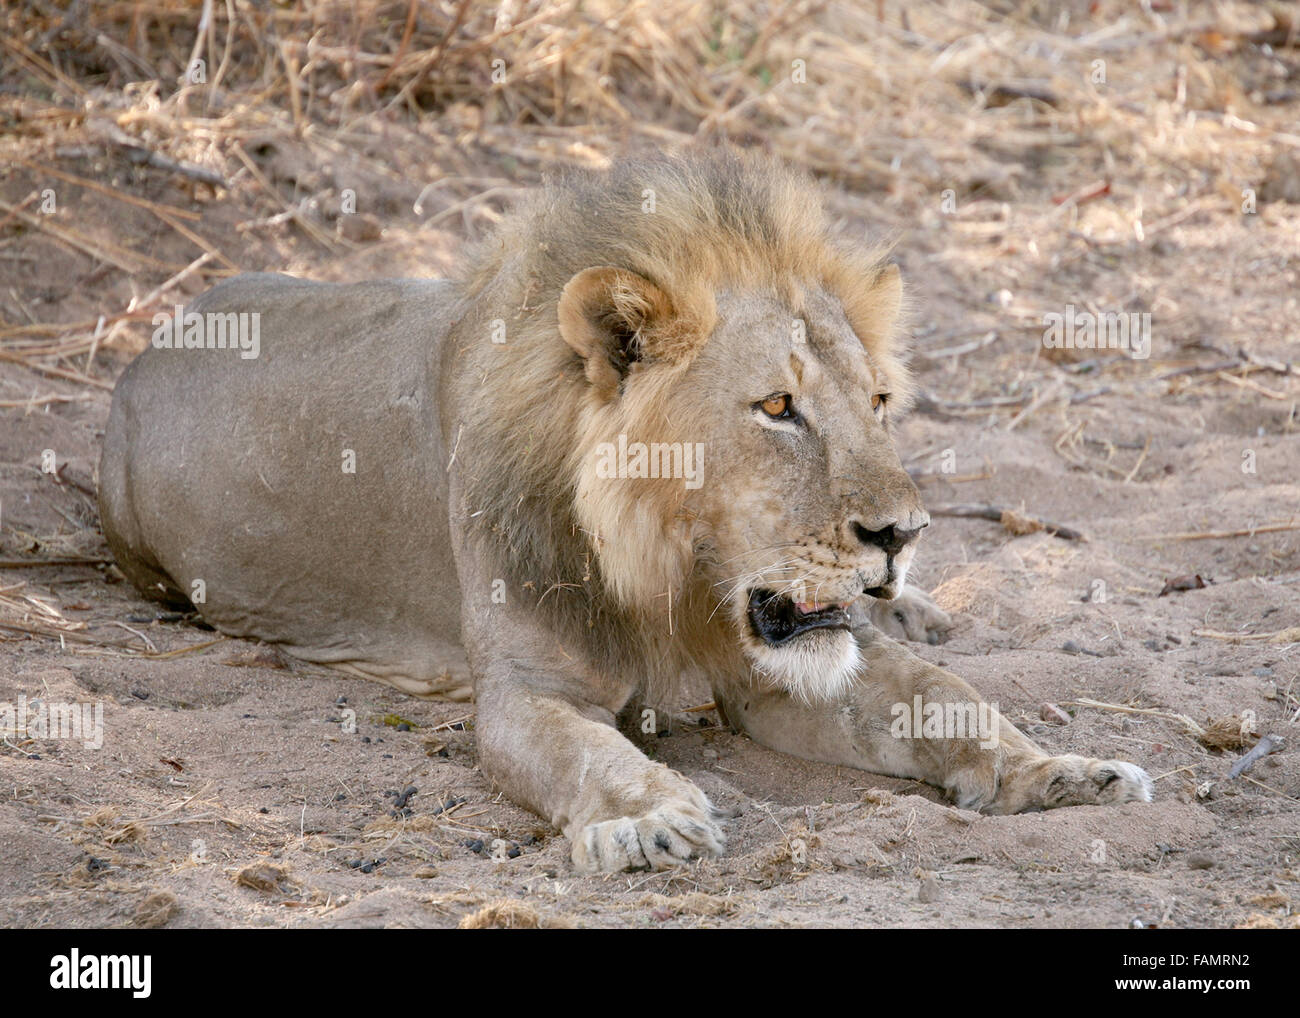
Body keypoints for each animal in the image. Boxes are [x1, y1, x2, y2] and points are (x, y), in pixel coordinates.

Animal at [104, 147, 1159, 873]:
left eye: (880, 402)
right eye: (778, 408)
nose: (902, 536)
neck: (677, 573)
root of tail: (161, 329)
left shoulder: (773, 670)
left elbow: (942, 695)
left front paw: (1061, 773)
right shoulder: (524, 690)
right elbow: (584, 752)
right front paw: (651, 818)